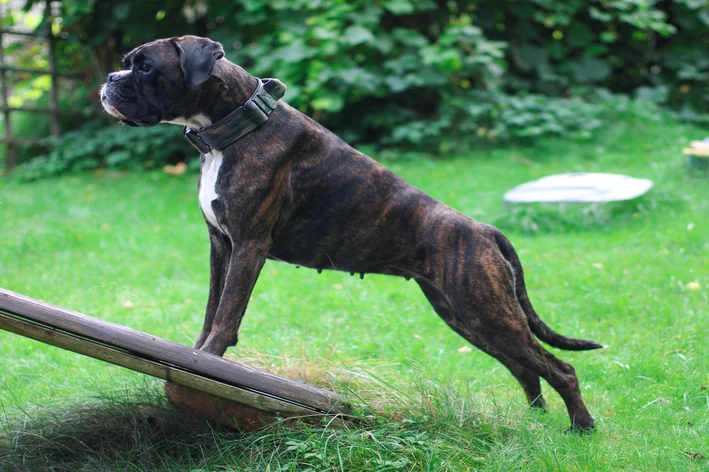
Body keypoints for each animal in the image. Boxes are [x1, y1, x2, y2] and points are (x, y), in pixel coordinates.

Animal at [101, 35, 604, 430]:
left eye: (145, 67)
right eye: (129, 62)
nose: (109, 78)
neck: (236, 125)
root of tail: (483, 228)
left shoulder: (248, 245)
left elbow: (227, 314)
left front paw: (208, 362)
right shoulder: (220, 246)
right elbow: (211, 309)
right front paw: (196, 355)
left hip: (485, 310)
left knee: (559, 368)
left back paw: (581, 428)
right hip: (468, 315)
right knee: (526, 367)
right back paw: (534, 422)